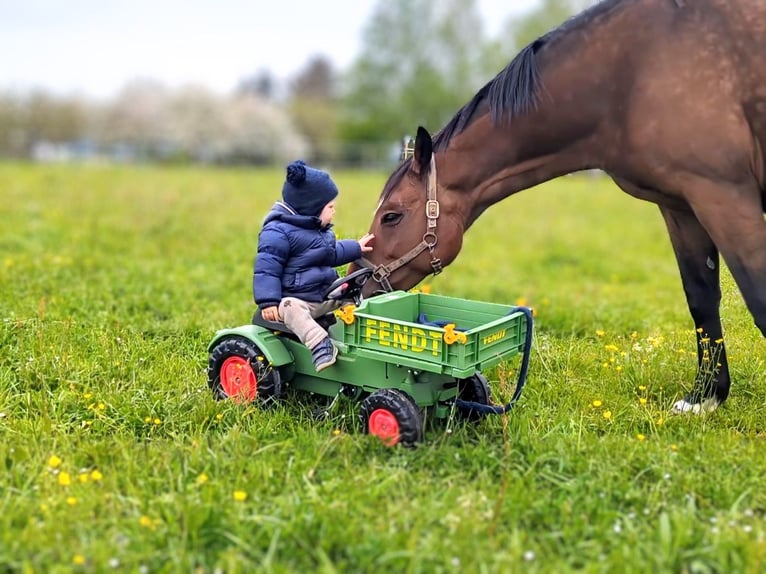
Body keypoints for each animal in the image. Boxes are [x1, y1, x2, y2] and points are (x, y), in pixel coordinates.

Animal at [351, 0, 766, 414]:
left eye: (391, 215)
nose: (354, 287)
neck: (629, 72)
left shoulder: (723, 193)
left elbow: (757, 297)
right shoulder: (681, 205)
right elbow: (701, 297)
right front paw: (704, 397)